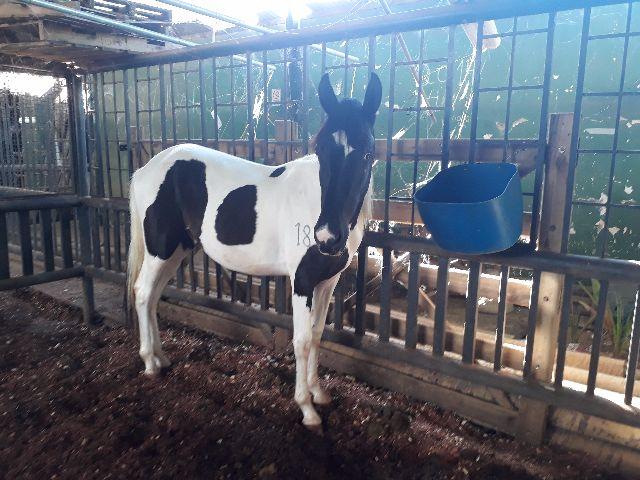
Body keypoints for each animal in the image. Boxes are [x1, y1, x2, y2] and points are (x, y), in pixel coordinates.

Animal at [126, 72, 382, 427]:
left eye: (367, 152)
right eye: (320, 149)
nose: (327, 237)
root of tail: (145, 170)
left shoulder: (327, 282)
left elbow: (318, 335)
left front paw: (319, 393)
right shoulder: (302, 281)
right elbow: (302, 341)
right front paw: (306, 408)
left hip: (176, 251)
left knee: (152, 297)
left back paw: (162, 358)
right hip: (160, 249)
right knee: (141, 293)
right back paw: (149, 363)